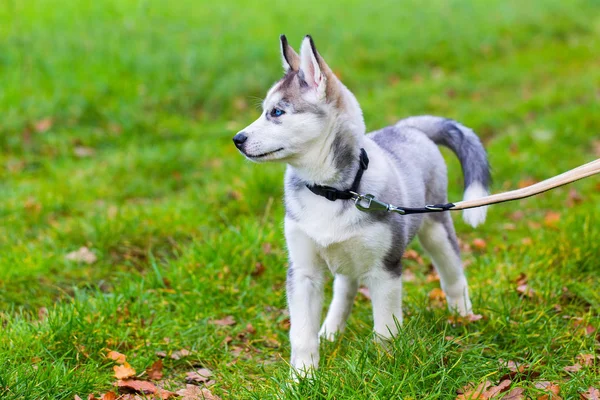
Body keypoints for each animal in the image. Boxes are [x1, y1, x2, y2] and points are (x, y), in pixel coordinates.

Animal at [232, 35, 490, 376]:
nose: (237, 139)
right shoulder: (303, 271)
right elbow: (301, 334)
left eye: (276, 112)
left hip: (436, 230)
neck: (331, 191)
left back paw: (462, 316)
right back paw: (330, 331)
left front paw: (385, 368)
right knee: (345, 286)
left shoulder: (386, 270)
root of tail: (408, 127)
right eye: (264, 111)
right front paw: (302, 378)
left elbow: (385, 329)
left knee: (453, 276)